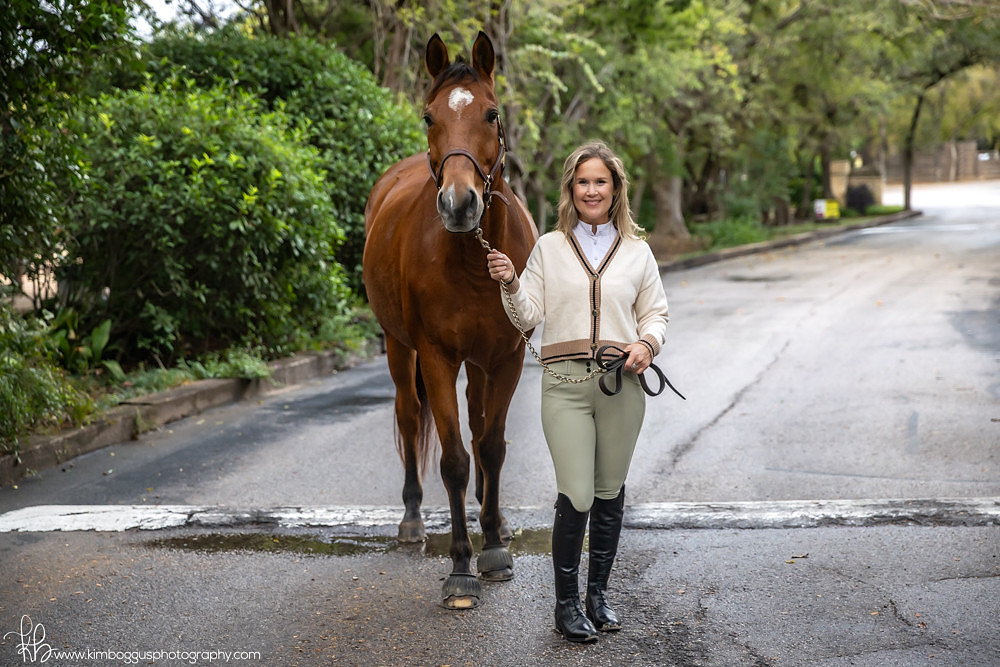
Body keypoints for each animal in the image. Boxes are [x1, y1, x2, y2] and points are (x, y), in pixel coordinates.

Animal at [362, 31, 538, 610]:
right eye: (428, 116)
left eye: (491, 113)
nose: (460, 204)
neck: (473, 261)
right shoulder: (437, 357)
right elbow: (455, 459)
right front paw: (461, 567)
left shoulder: (505, 358)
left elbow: (491, 446)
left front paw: (494, 548)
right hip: (399, 348)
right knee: (409, 415)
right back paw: (413, 518)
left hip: (479, 363)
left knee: (481, 424)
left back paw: (496, 519)